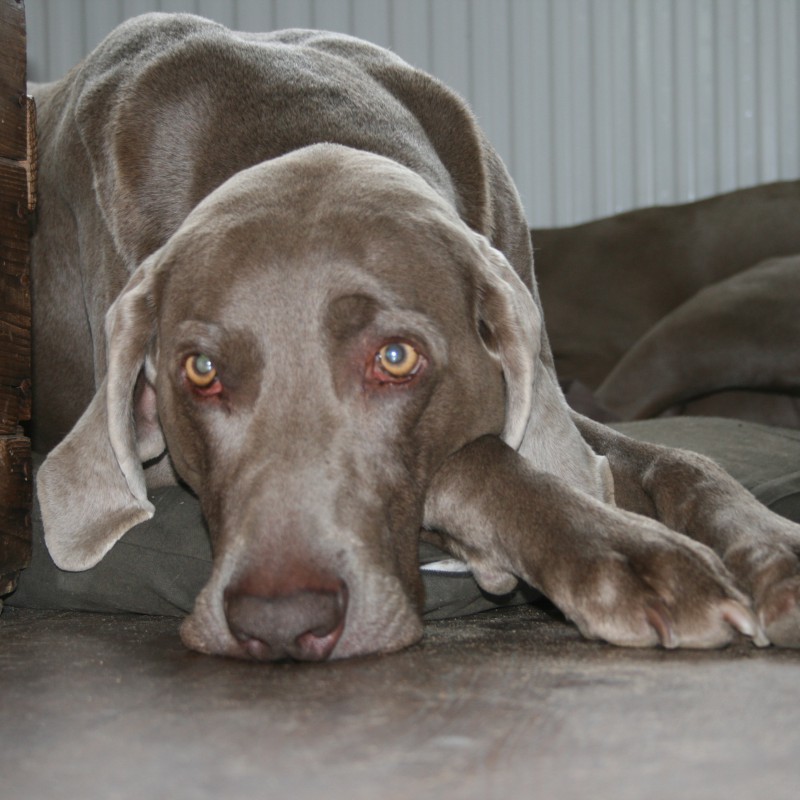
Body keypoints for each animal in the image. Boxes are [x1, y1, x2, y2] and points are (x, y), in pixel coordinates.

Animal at [31, 14, 800, 664]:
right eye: (200, 370)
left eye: (396, 358)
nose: (280, 623)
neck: (294, 114)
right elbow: (477, 456)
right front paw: (635, 562)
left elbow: (684, 461)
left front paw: (775, 551)